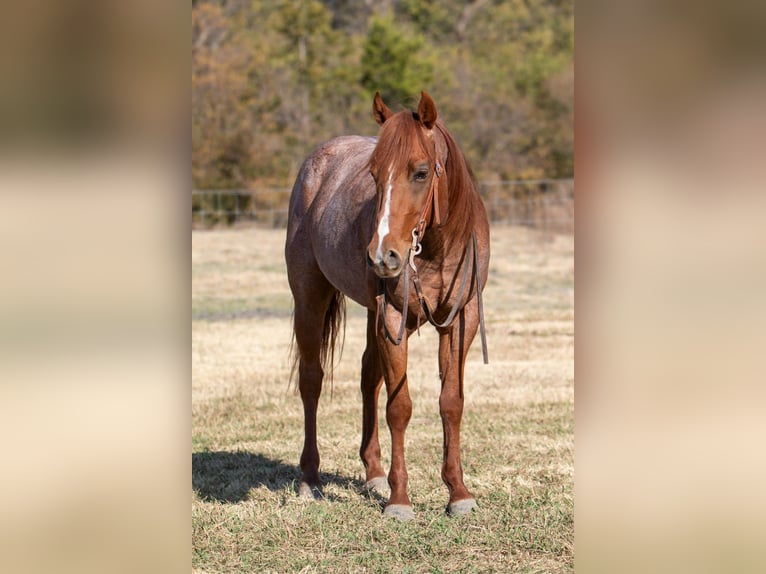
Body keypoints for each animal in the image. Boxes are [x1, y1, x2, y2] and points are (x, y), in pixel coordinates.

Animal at [285, 91, 490, 520]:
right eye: (375, 175)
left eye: (421, 172)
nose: (383, 256)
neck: (437, 248)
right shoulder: (394, 319)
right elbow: (400, 407)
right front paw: (399, 500)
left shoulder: (461, 321)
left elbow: (451, 402)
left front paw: (458, 492)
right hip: (309, 299)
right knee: (312, 380)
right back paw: (310, 478)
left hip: (370, 314)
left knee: (368, 377)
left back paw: (373, 473)